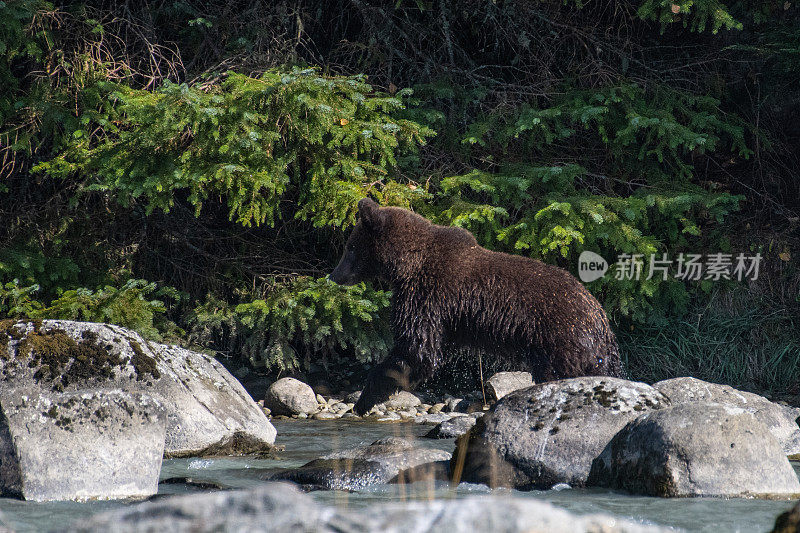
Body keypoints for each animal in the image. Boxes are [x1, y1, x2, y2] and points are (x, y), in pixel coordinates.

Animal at [328, 197, 620, 414]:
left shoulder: (427, 297)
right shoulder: (447, 318)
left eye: (350, 247)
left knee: (560, 374)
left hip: (561, 340)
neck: (407, 265)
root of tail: (600, 317)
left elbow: (417, 350)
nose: (333, 275)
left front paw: (364, 399)